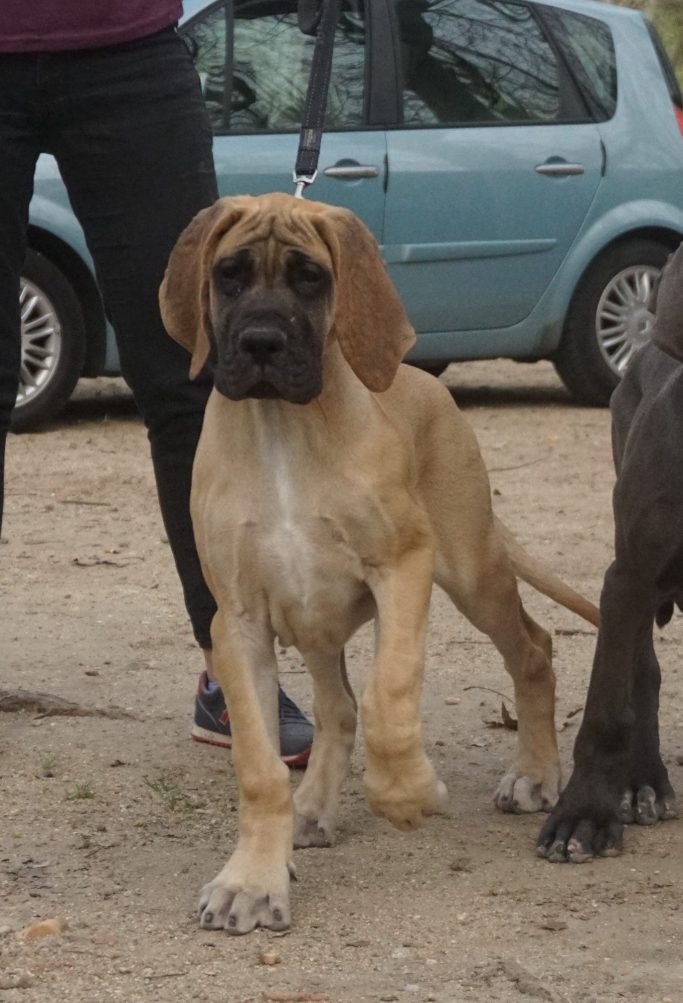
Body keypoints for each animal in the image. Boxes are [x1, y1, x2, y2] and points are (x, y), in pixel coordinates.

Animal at [159, 193, 597, 930]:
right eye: (229, 275)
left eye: (310, 277)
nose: (260, 344)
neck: (284, 429)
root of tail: (430, 383)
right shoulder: (238, 622)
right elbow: (260, 765)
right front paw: (251, 879)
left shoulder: (403, 565)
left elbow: (390, 695)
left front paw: (407, 791)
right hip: (312, 621)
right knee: (335, 709)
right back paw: (310, 808)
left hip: (470, 570)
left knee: (532, 648)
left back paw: (534, 774)